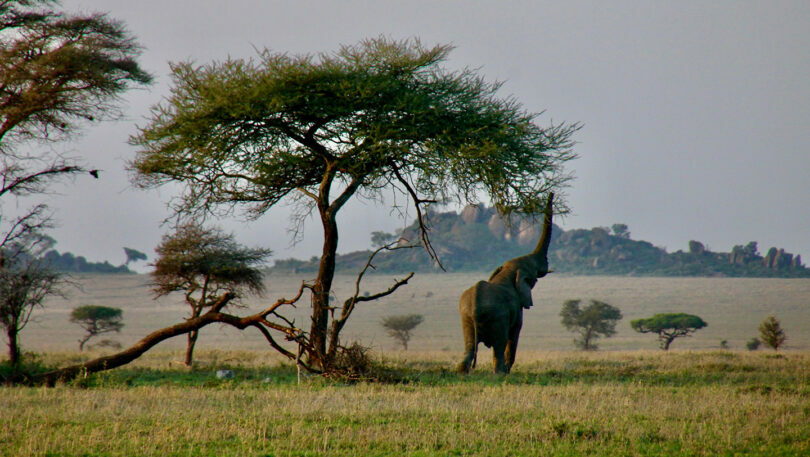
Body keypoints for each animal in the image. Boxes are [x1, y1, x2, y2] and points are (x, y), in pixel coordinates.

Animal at [458, 192, 552, 374]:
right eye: (533, 273)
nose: (551, 193)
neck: (507, 272)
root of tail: (475, 306)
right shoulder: (517, 308)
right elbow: (515, 334)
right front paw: (508, 371)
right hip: (497, 316)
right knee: (499, 345)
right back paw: (500, 373)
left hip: (466, 317)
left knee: (469, 346)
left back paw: (462, 371)